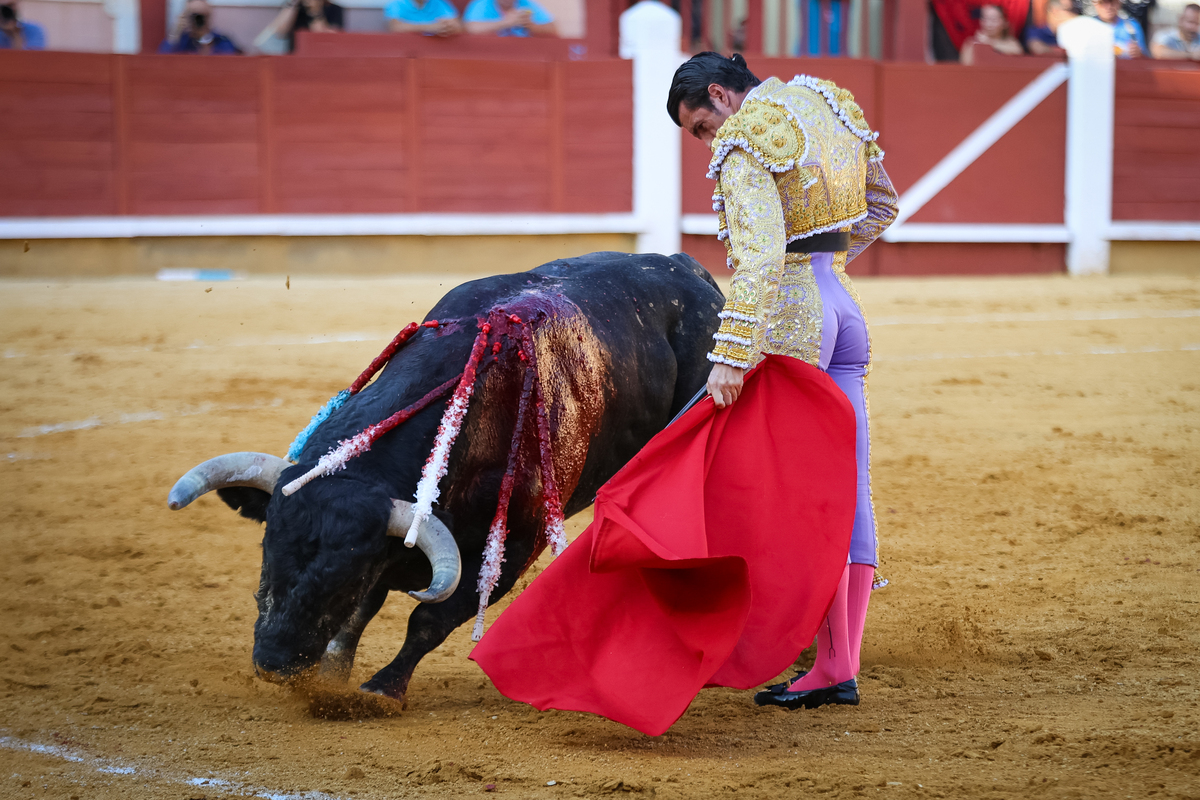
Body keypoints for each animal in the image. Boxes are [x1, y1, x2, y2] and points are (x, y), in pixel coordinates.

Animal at [169, 251, 720, 705]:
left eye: (344, 576)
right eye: (268, 550)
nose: (275, 662)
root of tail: (689, 268)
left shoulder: (513, 547)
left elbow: (428, 619)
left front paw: (381, 690)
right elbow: (363, 614)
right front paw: (334, 675)